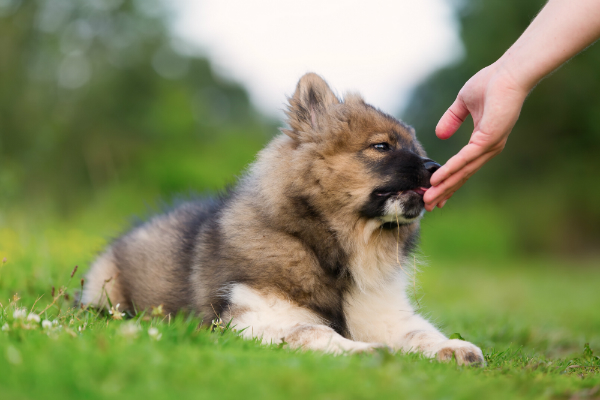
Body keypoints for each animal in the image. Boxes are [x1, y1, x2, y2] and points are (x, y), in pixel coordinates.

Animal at [83, 73, 482, 364]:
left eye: (417, 149)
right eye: (381, 146)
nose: (435, 168)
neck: (332, 251)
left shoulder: (381, 311)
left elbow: (419, 331)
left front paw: (455, 348)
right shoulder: (253, 317)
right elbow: (313, 331)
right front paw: (362, 351)